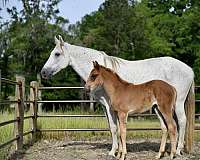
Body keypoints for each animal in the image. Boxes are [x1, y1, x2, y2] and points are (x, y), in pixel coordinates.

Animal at [41, 35, 195, 157]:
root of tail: (189, 69)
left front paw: (112, 152)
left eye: (57, 54)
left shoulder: (110, 107)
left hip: (178, 103)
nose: (43, 72)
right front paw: (116, 150)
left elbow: (115, 128)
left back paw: (178, 150)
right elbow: (112, 128)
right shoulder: (106, 107)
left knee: (181, 122)